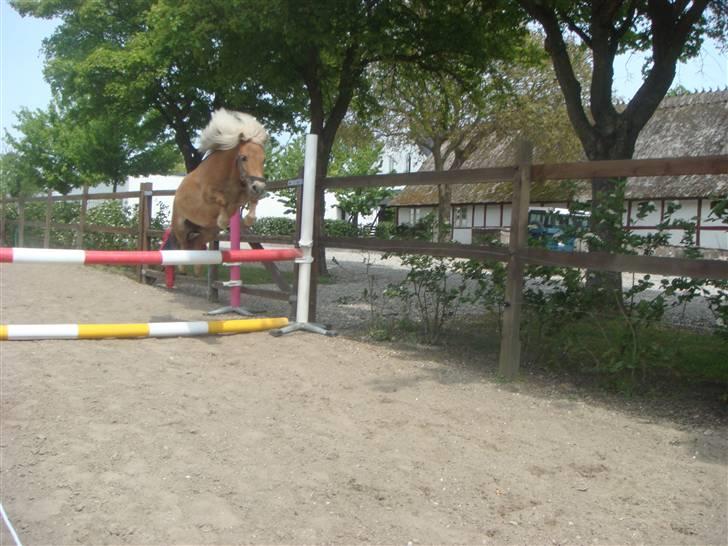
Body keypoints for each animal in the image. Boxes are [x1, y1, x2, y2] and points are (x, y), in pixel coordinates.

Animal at [170, 108, 268, 251]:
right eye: (244, 158)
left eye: (263, 160)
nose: (259, 186)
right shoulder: (207, 195)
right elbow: (222, 200)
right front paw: (223, 221)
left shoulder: (242, 196)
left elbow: (253, 201)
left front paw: (249, 219)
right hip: (181, 230)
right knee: (184, 247)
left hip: (207, 233)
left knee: (196, 245)